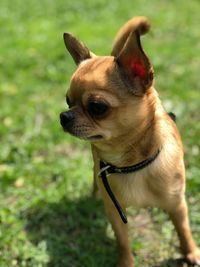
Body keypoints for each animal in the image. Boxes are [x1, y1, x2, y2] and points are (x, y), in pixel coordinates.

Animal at [59, 16, 200, 267]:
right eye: (67, 101)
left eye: (97, 107)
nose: (63, 116)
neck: (131, 163)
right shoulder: (116, 213)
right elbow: (123, 241)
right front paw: (126, 262)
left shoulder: (177, 205)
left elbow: (184, 230)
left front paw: (191, 252)